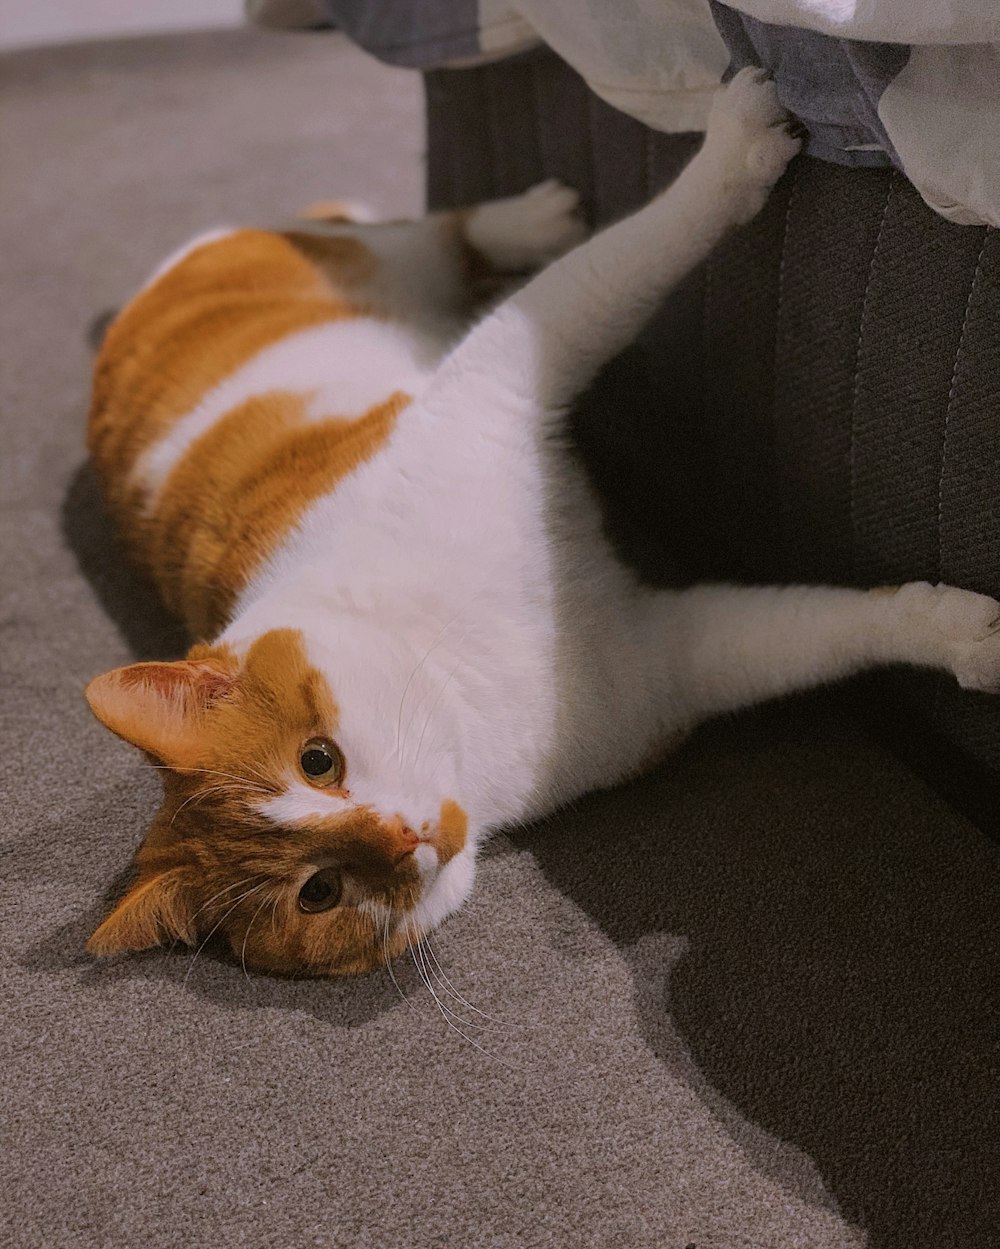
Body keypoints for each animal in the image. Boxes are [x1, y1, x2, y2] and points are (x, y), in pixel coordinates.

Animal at [88, 73, 1000, 979]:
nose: (405, 838)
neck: (458, 669)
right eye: (321, 890)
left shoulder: (510, 371)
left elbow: (634, 252)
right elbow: (822, 630)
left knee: (423, 232)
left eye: (319, 760)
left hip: (359, 260)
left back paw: (530, 217)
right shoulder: (670, 660)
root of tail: (131, 307)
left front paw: (730, 150)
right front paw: (960, 634)